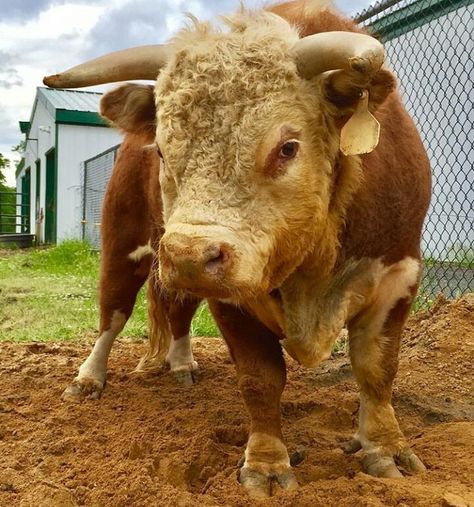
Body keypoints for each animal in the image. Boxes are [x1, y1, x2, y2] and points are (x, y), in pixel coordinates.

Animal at [44, 0, 430, 498]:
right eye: (163, 151)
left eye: (288, 147)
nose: (189, 255)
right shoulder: (233, 299)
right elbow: (260, 379)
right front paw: (266, 464)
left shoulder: (398, 276)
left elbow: (377, 370)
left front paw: (383, 446)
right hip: (124, 243)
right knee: (112, 314)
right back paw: (89, 378)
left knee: (177, 314)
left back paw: (182, 365)